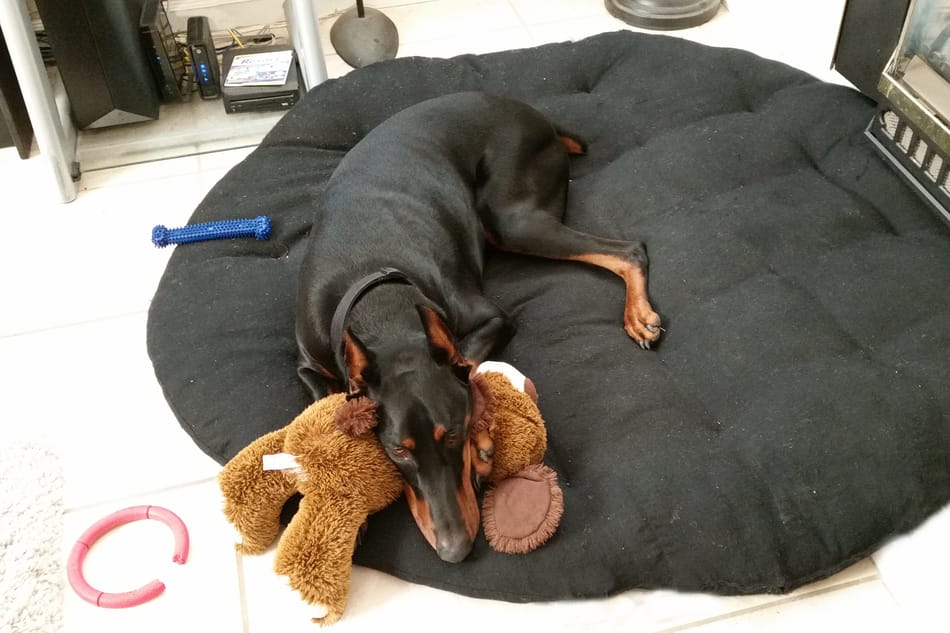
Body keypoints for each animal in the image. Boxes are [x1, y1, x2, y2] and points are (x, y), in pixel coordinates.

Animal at [298, 91, 660, 560]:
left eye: (453, 434)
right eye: (398, 451)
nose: (455, 550)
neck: (378, 300)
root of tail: (528, 109)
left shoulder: (490, 318)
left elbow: (467, 365)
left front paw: (483, 440)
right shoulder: (307, 360)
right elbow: (323, 406)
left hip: (510, 218)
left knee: (628, 249)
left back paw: (640, 316)